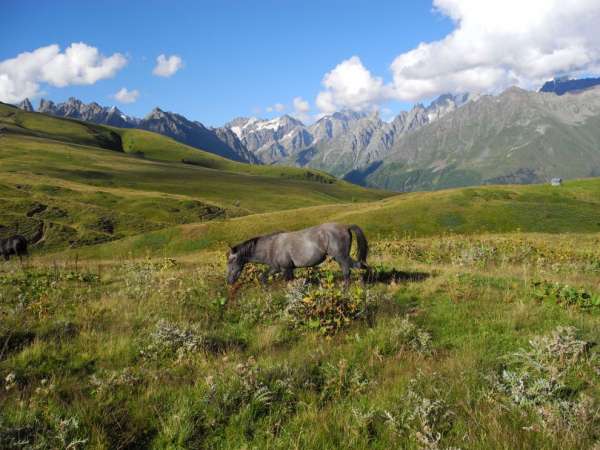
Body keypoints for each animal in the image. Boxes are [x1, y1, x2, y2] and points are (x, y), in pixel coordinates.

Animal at [226, 222, 368, 284]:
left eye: (231, 260)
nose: (229, 281)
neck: (271, 247)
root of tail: (346, 227)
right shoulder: (280, 268)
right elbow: (264, 277)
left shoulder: (283, 269)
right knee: (361, 266)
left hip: (341, 258)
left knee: (348, 272)